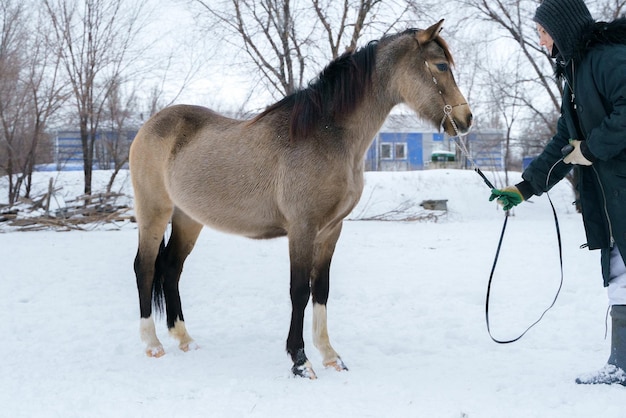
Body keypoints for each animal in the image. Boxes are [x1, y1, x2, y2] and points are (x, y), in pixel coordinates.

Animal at [132, 19, 470, 378]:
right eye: (441, 66)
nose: (466, 119)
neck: (325, 135)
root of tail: (150, 125)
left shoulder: (331, 231)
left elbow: (321, 290)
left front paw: (330, 355)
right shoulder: (302, 229)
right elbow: (299, 291)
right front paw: (300, 360)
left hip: (188, 218)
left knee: (171, 267)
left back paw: (184, 339)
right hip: (154, 212)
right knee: (146, 268)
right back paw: (152, 344)